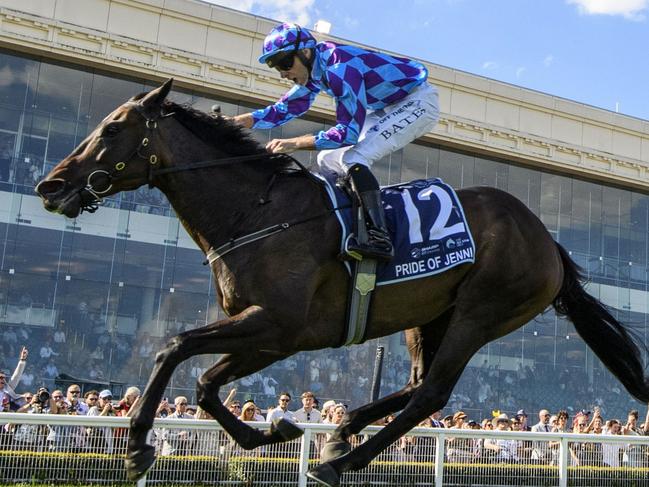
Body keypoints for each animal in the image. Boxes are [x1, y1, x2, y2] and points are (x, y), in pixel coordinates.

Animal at [35, 80, 648, 487]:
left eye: (112, 128)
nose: (50, 185)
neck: (259, 212)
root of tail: (549, 242)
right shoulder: (270, 335)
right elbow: (206, 383)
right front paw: (272, 433)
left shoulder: (277, 325)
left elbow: (173, 347)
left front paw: (138, 447)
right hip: (430, 317)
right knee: (414, 386)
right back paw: (339, 430)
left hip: (482, 312)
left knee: (431, 393)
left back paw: (339, 462)